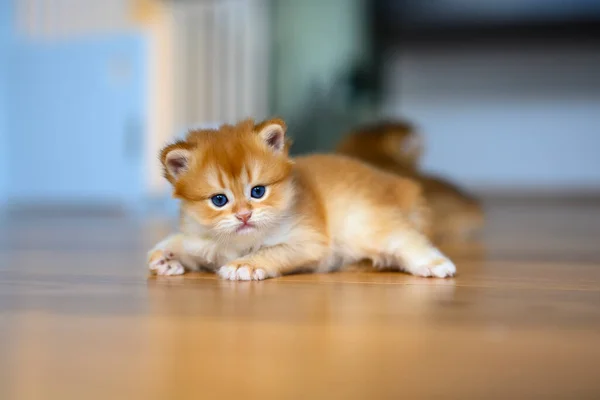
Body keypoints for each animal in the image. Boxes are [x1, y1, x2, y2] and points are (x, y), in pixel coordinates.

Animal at [146, 117, 454, 280]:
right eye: (219, 200)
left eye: (258, 191)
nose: (244, 215)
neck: (240, 242)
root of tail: (396, 184)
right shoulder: (202, 241)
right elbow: (184, 245)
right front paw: (165, 257)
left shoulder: (309, 242)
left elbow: (272, 251)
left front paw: (245, 265)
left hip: (364, 223)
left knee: (405, 238)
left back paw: (436, 264)